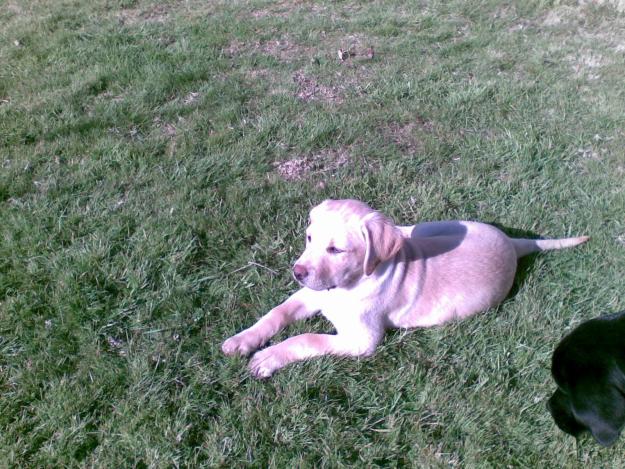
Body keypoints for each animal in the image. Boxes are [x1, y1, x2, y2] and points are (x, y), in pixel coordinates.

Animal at [222, 197, 588, 376]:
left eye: (336, 250)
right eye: (309, 238)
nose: (297, 272)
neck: (348, 284)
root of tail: (512, 243)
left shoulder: (361, 341)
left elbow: (307, 338)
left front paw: (268, 357)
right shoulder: (310, 294)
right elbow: (277, 313)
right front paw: (243, 340)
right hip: (428, 228)